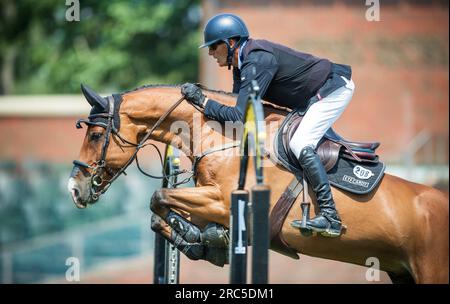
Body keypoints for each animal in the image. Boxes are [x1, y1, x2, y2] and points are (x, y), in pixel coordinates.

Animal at [68, 84, 448, 284]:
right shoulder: (209, 201)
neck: (221, 136)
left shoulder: (223, 200)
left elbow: (158, 196)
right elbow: (159, 210)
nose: (74, 188)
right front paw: (203, 241)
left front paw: (202, 240)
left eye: (97, 135)